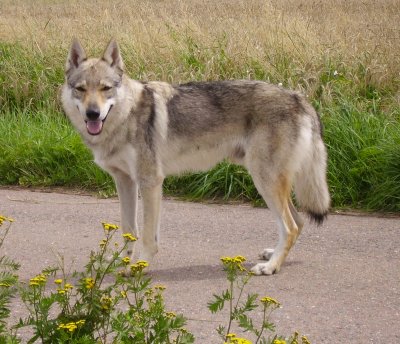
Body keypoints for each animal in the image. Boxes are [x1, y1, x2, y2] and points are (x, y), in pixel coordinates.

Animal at [61, 39, 330, 274]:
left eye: (106, 88)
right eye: (81, 89)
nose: (93, 114)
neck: (125, 117)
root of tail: (300, 98)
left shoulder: (150, 182)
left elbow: (147, 236)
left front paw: (139, 266)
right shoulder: (124, 181)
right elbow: (129, 229)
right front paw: (120, 261)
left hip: (265, 181)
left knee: (291, 226)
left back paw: (270, 267)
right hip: (270, 183)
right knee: (299, 222)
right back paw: (272, 255)